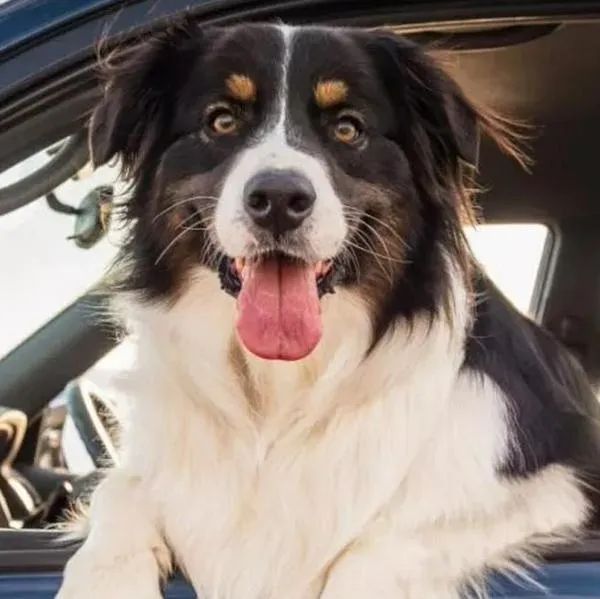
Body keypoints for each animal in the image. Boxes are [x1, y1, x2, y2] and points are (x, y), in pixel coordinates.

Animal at [55, 18, 600, 599]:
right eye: (222, 120)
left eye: (347, 128)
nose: (277, 199)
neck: (279, 393)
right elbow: (119, 488)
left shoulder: (556, 487)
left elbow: (382, 549)